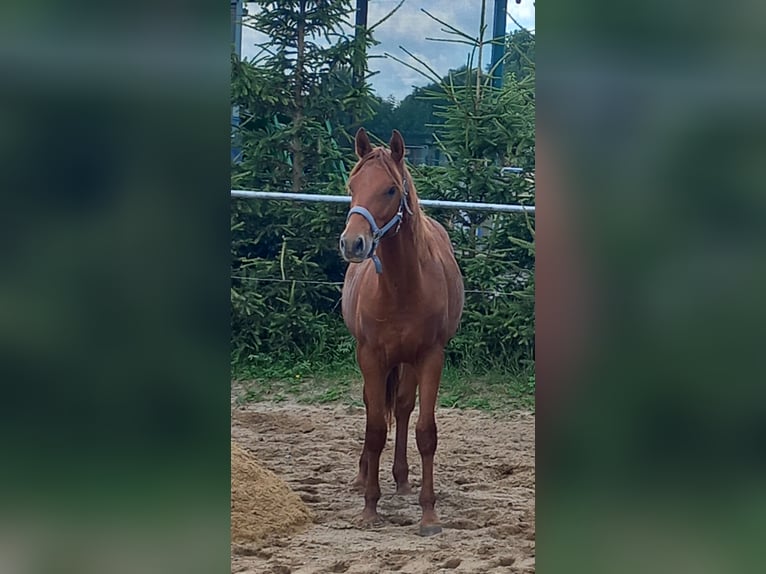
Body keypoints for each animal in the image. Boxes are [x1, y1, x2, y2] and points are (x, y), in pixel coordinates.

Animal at [340, 128, 464, 536]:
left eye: (391, 189)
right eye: (352, 185)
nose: (353, 243)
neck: (401, 287)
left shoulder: (430, 357)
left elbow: (425, 432)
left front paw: (429, 515)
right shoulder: (370, 356)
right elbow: (375, 427)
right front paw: (369, 508)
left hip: (408, 361)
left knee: (406, 407)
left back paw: (403, 479)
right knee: (373, 406)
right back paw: (365, 477)